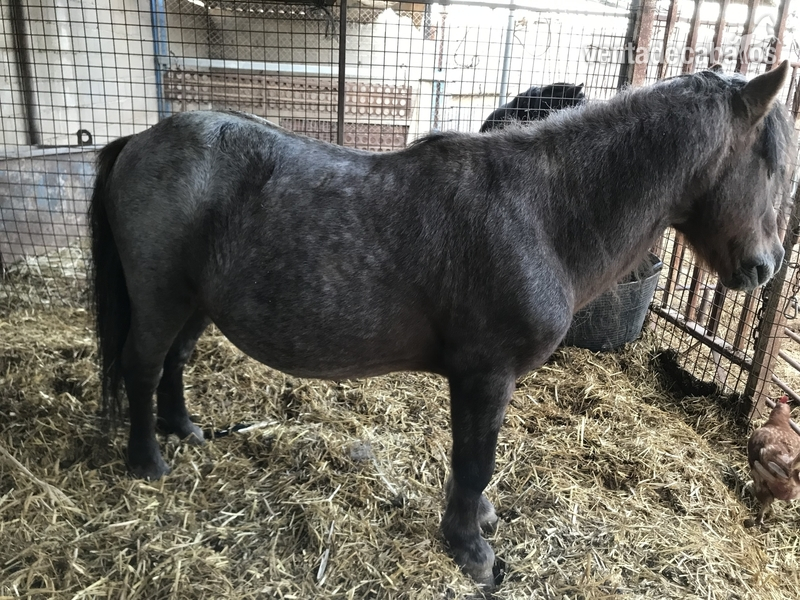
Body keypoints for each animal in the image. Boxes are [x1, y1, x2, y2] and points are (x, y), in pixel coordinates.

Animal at [89, 61, 794, 589]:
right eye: (773, 167)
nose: (765, 267)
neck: (541, 214)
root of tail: (140, 141)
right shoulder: (485, 374)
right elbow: (476, 458)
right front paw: (472, 551)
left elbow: (471, 460)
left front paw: (477, 519)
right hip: (160, 297)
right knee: (142, 364)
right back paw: (147, 460)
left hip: (195, 304)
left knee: (174, 361)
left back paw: (183, 429)